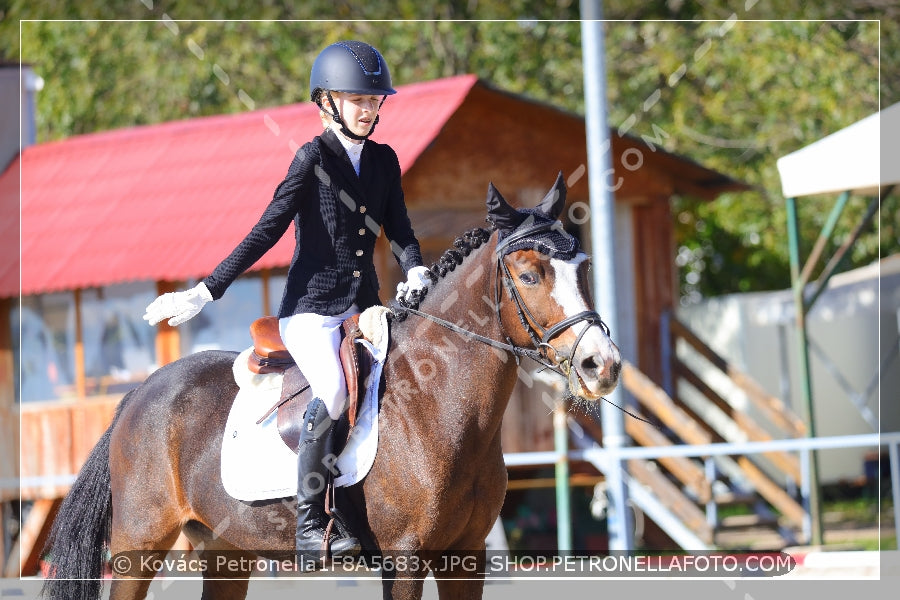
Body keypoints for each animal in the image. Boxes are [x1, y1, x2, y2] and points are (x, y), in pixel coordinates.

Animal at [40, 172, 620, 600]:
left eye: (586, 267)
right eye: (529, 276)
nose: (601, 365)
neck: (438, 409)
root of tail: (140, 394)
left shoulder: (467, 558)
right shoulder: (404, 559)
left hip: (227, 554)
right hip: (138, 546)